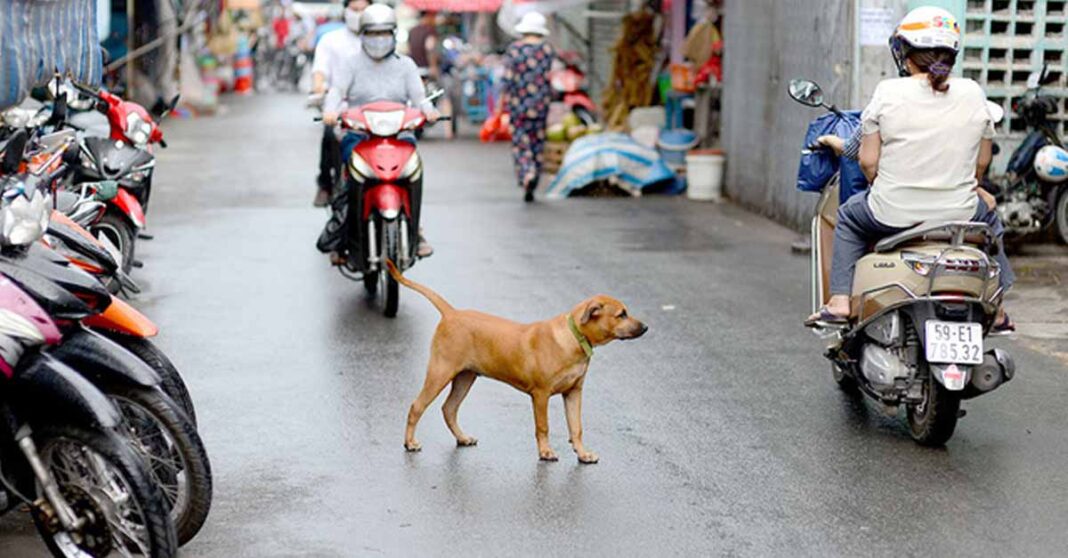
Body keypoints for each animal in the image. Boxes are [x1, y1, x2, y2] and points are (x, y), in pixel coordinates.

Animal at [388, 262, 645, 461]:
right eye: (621, 314)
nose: (646, 327)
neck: (573, 337)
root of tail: (451, 313)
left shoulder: (574, 392)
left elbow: (576, 427)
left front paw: (583, 454)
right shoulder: (541, 394)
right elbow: (543, 426)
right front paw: (546, 452)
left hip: (465, 376)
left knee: (449, 409)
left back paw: (462, 438)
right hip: (440, 372)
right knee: (417, 406)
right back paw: (410, 443)